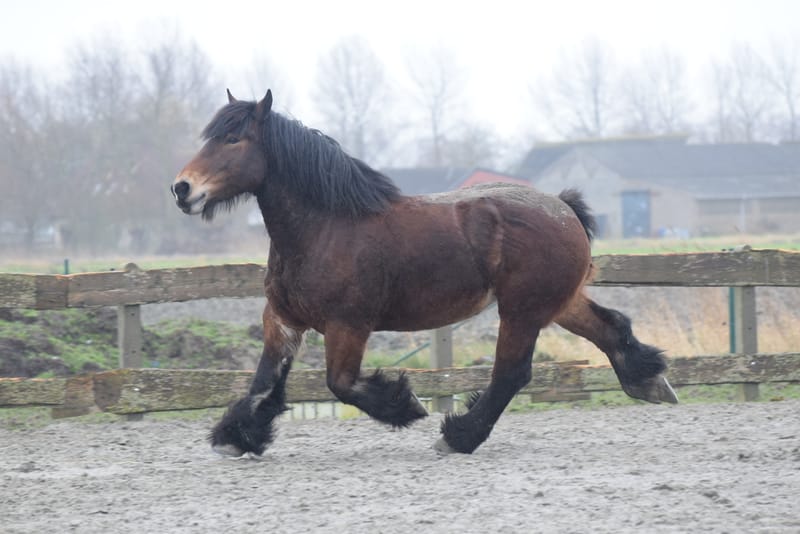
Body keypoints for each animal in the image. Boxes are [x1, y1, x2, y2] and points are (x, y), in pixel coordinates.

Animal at [171, 89, 678, 457]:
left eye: (234, 140)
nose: (182, 189)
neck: (325, 227)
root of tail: (563, 208)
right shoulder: (283, 321)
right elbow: (263, 384)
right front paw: (236, 436)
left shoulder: (347, 326)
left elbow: (341, 384)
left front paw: (405, 406)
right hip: (557, 303)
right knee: (611, 328)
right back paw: (651, 382)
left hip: (522, 311)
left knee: (512, 373)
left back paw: (458, 436)